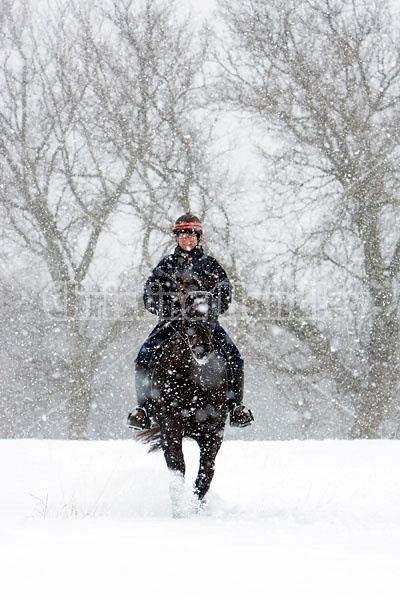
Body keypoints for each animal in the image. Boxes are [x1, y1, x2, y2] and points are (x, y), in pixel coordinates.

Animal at [135, 292, 227, 512]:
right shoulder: (170, 428)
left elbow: (206, 472)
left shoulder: (214, 432)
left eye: (212, 316)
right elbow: (177, 468)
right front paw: (180, 510)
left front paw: (196, 507)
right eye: (186, 319)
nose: (201, 349)